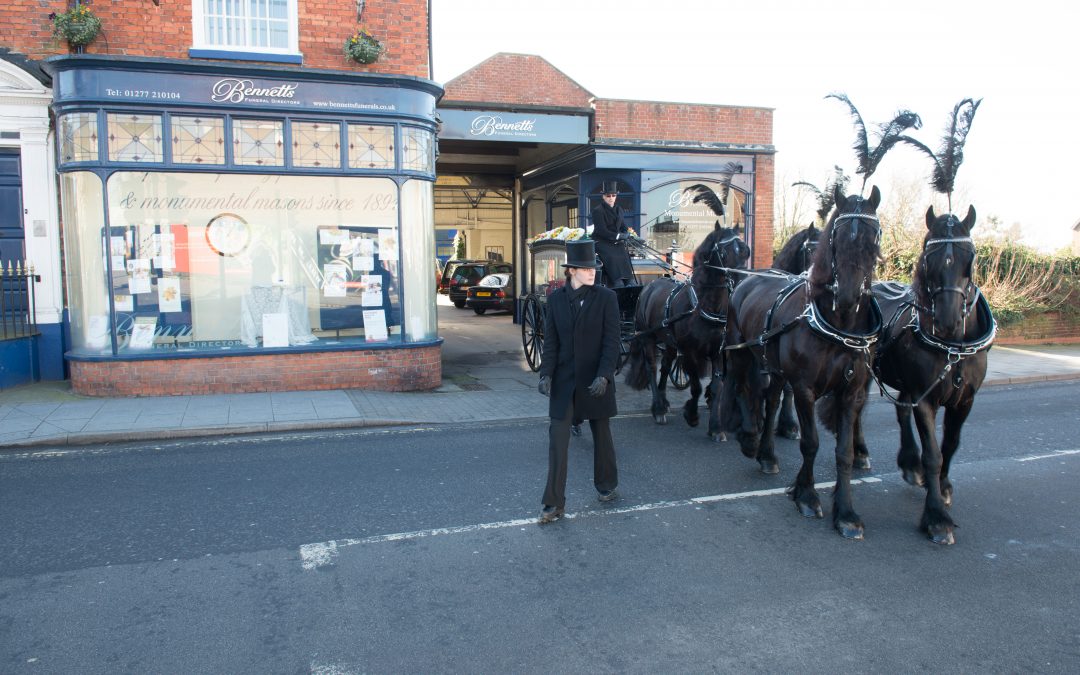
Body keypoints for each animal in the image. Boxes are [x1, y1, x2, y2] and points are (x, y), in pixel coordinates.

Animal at [626, 223, 751, 440]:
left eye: (746, 251)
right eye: (723, 253)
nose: (742, 281)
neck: (702, 305)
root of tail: (649, 286)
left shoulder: (717, 352)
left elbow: (717, 386)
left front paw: (716, 427)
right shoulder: (690, 352)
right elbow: (696, 386)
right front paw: (691, 415)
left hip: (668, 341)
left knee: (665, 367)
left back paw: (664, 402)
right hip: (648, 337)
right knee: (652, 368)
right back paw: (658, 408)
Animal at [721, 186, 881, 540]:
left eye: (875, 235)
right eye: (836, 237)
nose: (847, 297)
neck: (837, 325)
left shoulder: (851, 392)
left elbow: (844, 452)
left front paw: (845, 513)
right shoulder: (806, 388)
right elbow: (811, 443)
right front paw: (806, 496)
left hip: (774, 365)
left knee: (770, 399)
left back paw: (766, 454)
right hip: (739, 350)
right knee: (738, 386)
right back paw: (744, 436)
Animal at [872, 204, 989, 542]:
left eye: (970, 256)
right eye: (927, 255)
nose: (946, 321)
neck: (954, 347)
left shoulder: (965, 400)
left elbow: (951, 444)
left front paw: (944, 487)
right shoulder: (926, 398)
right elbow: (933, 454)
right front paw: (936, 517)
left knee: (901, 411)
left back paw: (910, 462)